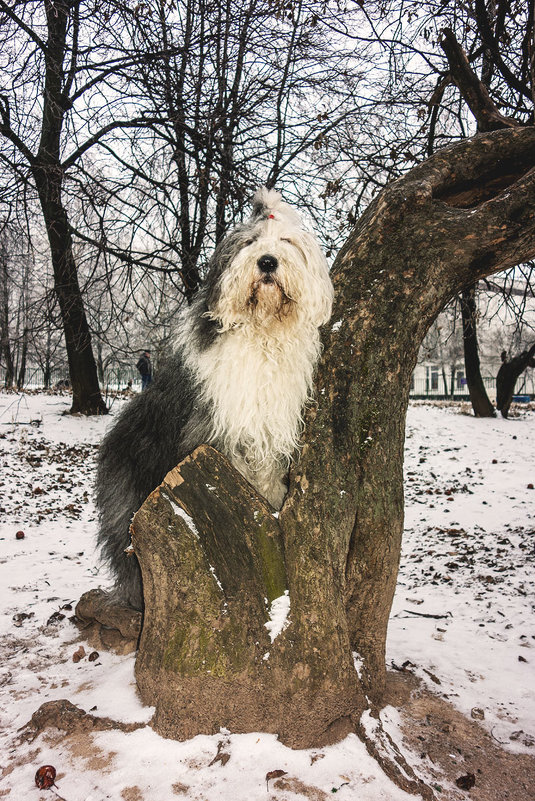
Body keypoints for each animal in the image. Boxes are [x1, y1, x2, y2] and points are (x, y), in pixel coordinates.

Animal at [95, 189, 330, 608]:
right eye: (250, 242)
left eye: (286, 242)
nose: (267, 261)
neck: (260, 331)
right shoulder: (216, 424)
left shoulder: (269, 426)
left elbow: (267, 471)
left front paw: (270, 503)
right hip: (130, 499)